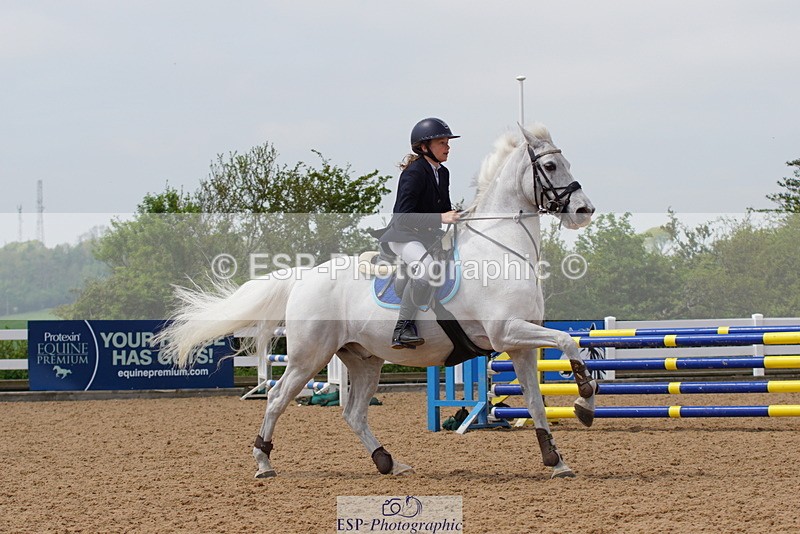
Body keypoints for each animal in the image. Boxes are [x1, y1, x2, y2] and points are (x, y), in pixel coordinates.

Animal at [156, 124, 597, 479]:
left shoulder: (518, 345)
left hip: (364, 358)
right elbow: (568, 342)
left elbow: (537, 400)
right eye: (551, 166)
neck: (501, 248)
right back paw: (264, 462)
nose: (584, 210)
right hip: (309, 356)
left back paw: (388, 461)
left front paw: (556, 459)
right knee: (278, 398)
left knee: (353, 413)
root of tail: (302, 278)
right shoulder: (508, 333)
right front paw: (585, 403)